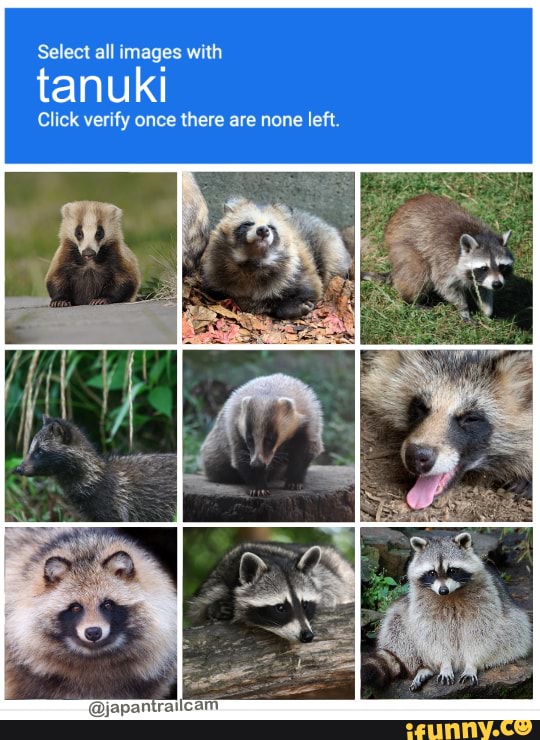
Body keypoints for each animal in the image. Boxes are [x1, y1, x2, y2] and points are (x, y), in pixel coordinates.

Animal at [189, 542, 355, 642]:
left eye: (305, 605)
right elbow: (199, 609)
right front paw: (214, 609)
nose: (307, 636)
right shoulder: (216, 581)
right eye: (280, 608)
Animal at [201, 196, 351, 319]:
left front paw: (291, 307)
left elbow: (313, 289)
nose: (263, 230)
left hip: (330, 246)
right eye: (248, 223)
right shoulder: (215, 275)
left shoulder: (299, 269)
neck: (254, 261)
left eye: (271, 227)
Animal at [361, 532, 531, 692]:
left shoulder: (484, 599)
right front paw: (444, 664)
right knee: (396, 628)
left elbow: (480, 632)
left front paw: (472, 664)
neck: (450, 595)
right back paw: (424, 667)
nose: (443, 590)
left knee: (512, 633)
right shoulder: (421, 605)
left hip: (512, 626)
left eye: (452, 570)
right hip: (402, 615)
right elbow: (432, 634)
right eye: (432, 573)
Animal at [363, 194, 514, 321]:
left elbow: (483, 289)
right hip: (401, 245)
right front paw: (463, 308)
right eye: (483, 268)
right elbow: (445, 286)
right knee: (418, 271)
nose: (497, 284)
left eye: (502, 266)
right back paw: (411, 300)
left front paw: (486, 309)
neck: (479, 235)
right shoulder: (444, 259)